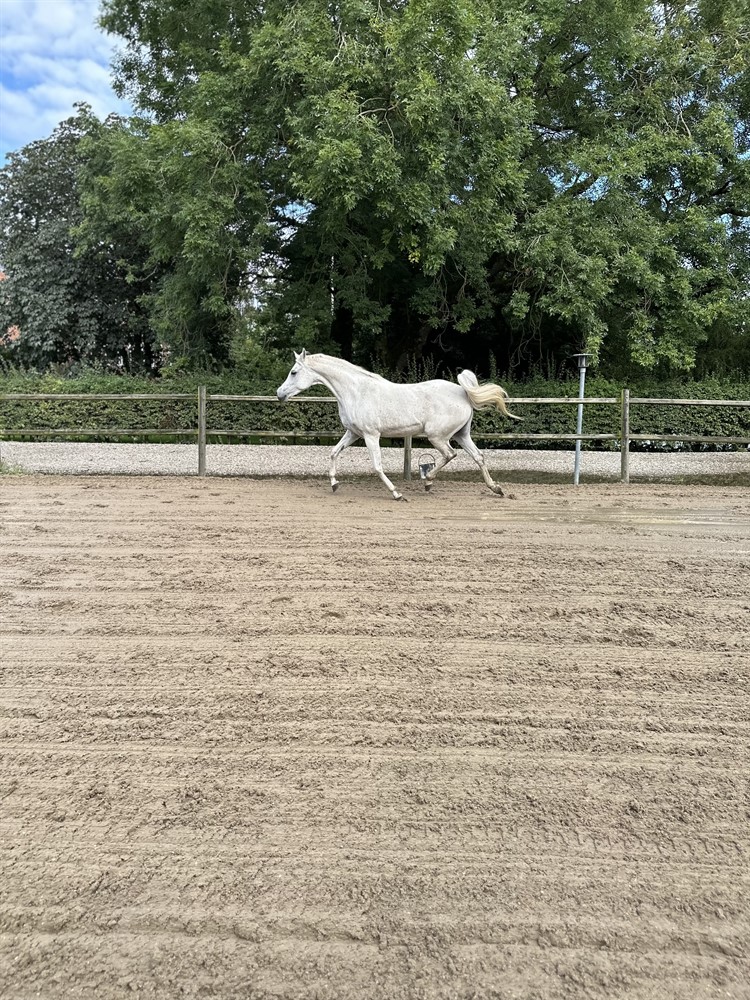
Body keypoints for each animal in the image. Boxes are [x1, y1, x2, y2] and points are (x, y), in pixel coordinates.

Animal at [276, 351, 521, 501]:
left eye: (294, 372)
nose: (279, 394)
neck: (356, 391)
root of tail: (463, 392)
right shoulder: (353, 433)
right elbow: (334, 453)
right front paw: (335, 484)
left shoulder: (371, 435)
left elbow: (377, 466)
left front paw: (397, 494)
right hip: (461, 434)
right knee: (478, 456)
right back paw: (496, 489)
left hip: (437, 436)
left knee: (450, 455)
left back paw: (428, 482)